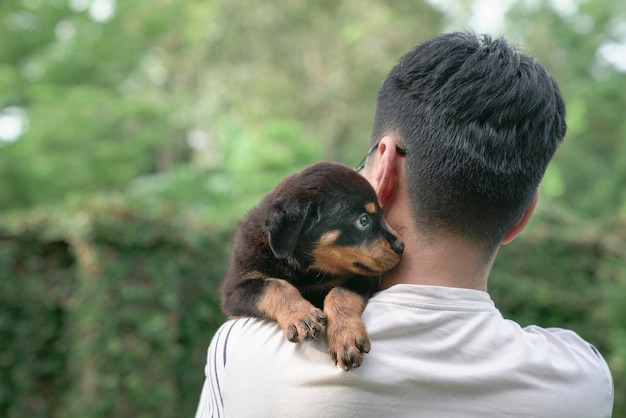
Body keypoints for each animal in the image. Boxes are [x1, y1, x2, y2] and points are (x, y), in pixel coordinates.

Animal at [222, 160, 402, 370]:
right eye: (363, 220)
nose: (401, 247)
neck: (307, 272)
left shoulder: (365, 278)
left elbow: (340, 292)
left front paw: (345, 336)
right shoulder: (235, 291)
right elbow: (274, 285)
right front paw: (301, 316)